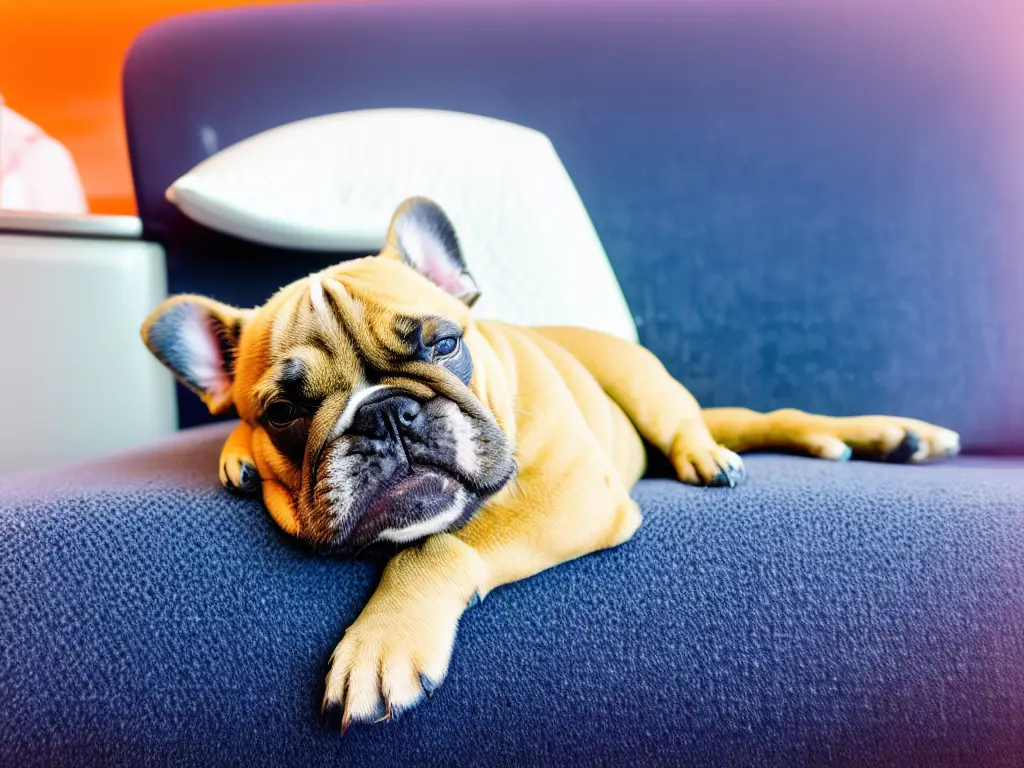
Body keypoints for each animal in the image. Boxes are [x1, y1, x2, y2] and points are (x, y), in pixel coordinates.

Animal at [142, 195, 958, 729]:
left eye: (443, 344)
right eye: (283, 413)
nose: (384, 414)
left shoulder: (567, 494)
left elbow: (436, 546)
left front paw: (384, 638)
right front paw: (239, 453)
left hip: (644, 385)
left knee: (721, 425)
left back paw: (727, 452)